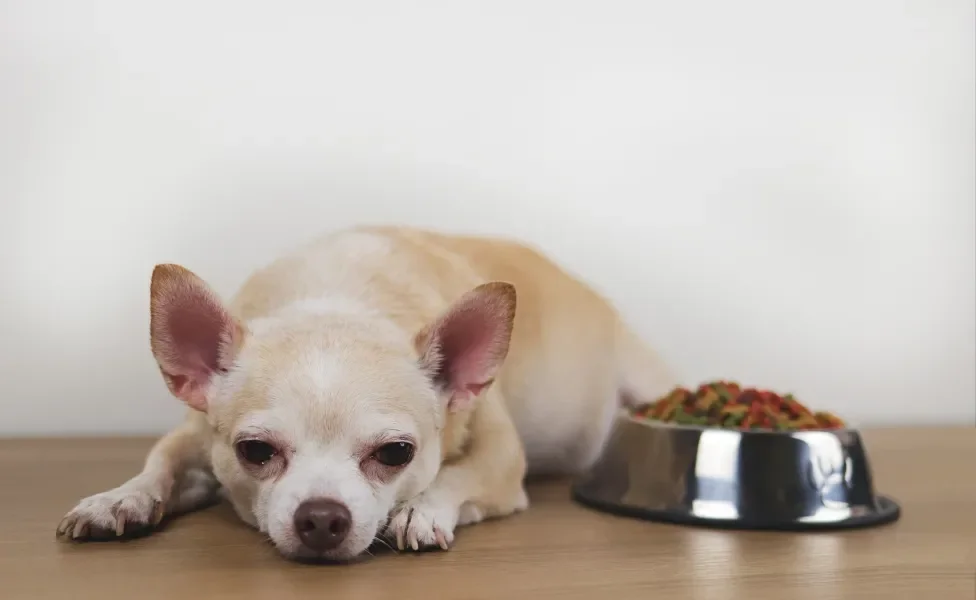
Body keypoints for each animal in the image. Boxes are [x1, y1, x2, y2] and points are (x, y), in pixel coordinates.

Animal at [57, 226, 676, 564]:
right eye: (254, 451)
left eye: (396, 453)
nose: (321, 517)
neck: (338, 297)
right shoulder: (194, 435)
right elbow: (159, 462)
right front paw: (120, 499)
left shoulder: (502, 460)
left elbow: (457, 474)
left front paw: (420, 509)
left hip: (648, 378)